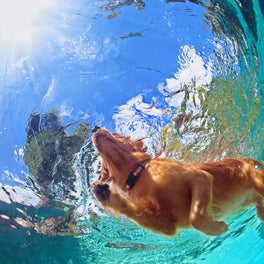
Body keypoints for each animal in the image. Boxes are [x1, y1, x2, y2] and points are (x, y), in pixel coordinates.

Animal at [92, 127, 264, 236]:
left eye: (116, 133)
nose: (94, 127)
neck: (139, 174)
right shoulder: (166, 223)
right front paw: (104, 194)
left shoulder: (200, 178)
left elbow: (196, 217)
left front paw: (217, 228)